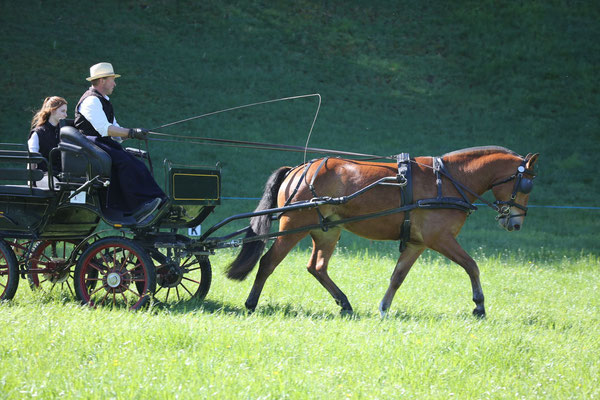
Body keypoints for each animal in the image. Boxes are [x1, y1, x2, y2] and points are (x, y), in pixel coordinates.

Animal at [225, 145, 540, 318]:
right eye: (527, 185)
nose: (516, 223)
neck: (448, 181)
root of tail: (299, 169)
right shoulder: (440, 239)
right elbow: (472, 266)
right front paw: (479, 306)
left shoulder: (417, 243)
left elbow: (397, 277)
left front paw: (384, 308)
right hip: (294, 226)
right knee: (268, 262)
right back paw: (251, 303)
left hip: (326, 231)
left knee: (317, 267)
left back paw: (344, 303)